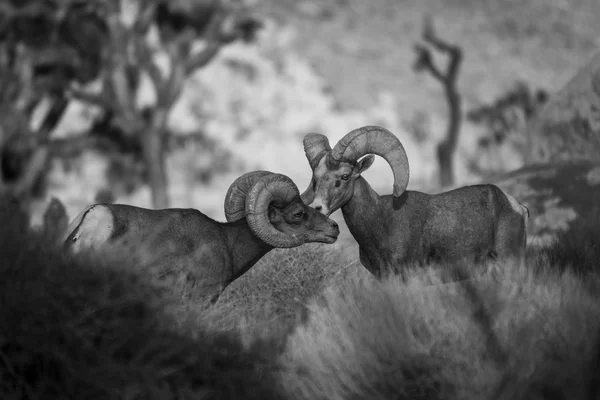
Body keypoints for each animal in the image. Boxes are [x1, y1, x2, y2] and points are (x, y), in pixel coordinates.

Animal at [302, 125, 528, 278]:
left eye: (345, 176)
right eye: (316, 178)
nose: (318, 207)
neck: (381, 223)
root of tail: (517, 207)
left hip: (509, 260)